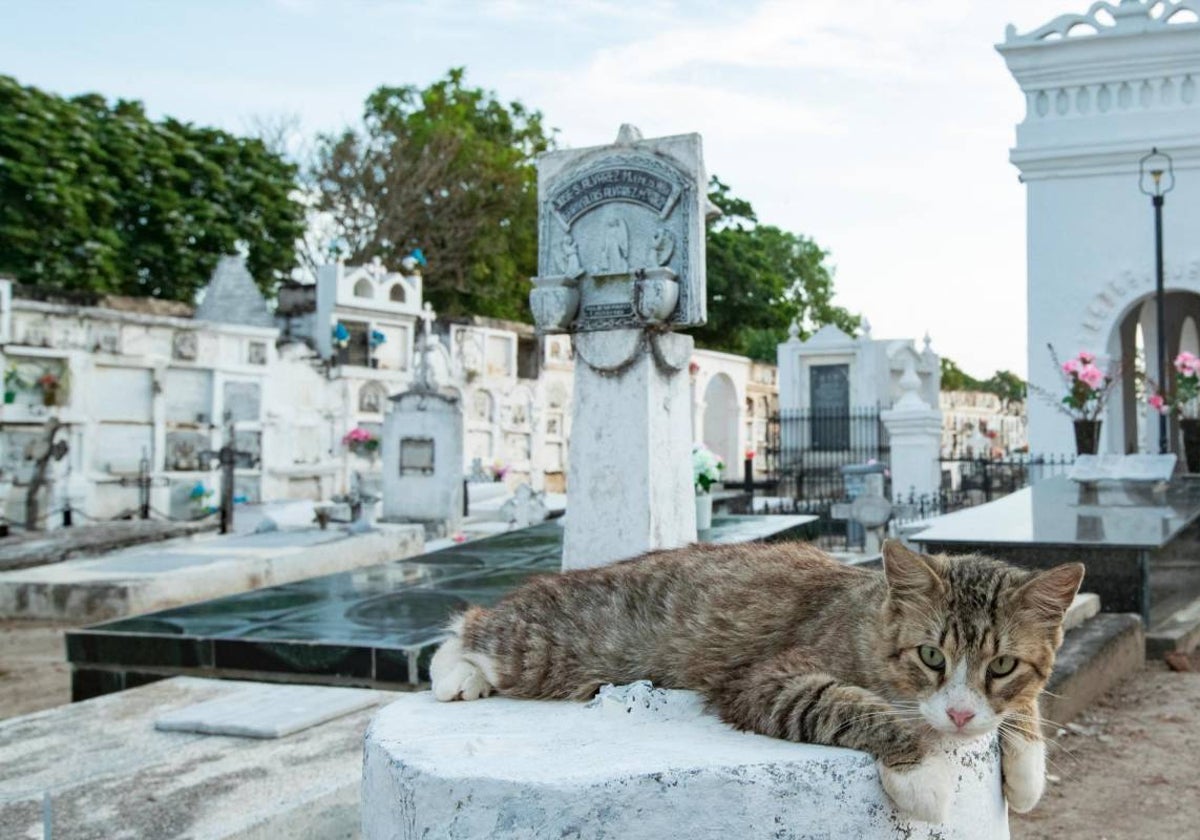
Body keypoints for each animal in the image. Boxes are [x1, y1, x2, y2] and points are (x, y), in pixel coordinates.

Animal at [429, 537, 1080, 820]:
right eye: (931, 656)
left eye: (1002, 665)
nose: (961, 715)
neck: (867, 616)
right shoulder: (766, 681)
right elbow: (851, 704)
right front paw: (920, 773)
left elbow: (1025, 710)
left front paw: (1026, 766)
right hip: (550, 649)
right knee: (473, 623)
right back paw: (457, 672)